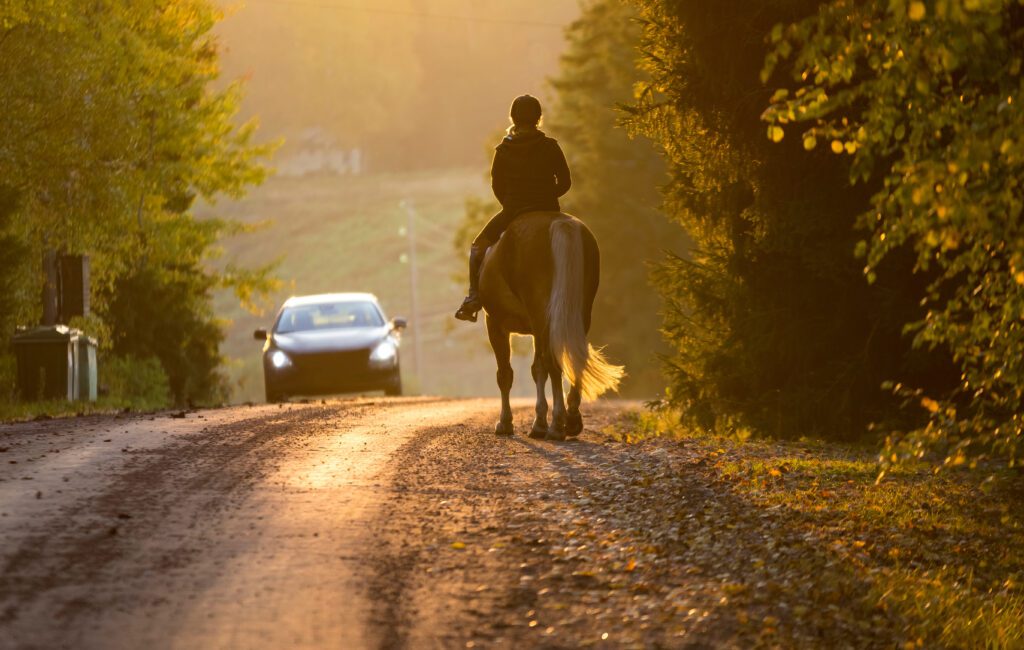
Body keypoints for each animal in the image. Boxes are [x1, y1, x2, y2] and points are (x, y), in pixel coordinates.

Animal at [478, 210, 624, 440]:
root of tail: (559, 222)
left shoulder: (495, 323)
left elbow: (505, 374)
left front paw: (506, 423)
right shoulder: (538, 330)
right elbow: (537, 369)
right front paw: (539, 421)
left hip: (539, 314)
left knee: (552, 362)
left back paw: (556, 425)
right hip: (575, 314)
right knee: (572, 359)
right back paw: (571, 420)